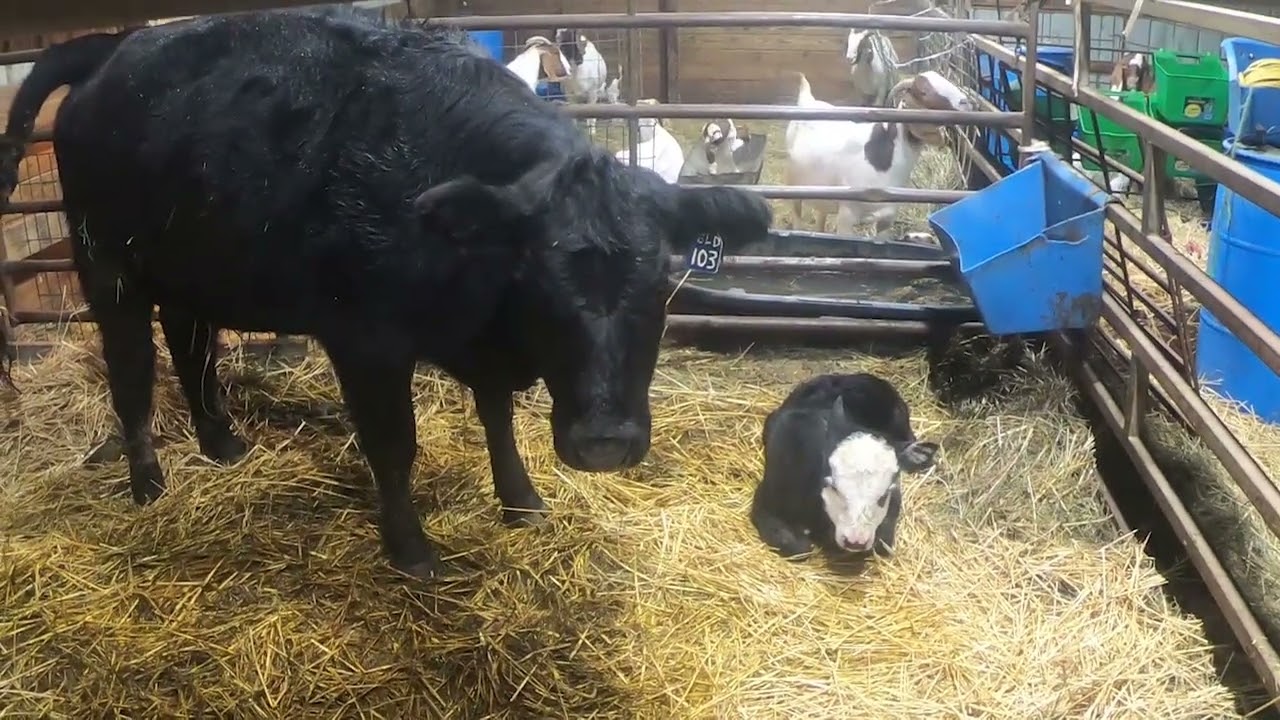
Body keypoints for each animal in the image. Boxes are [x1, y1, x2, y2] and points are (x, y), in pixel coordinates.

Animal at [0, 9, 771, 579]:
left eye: (663, 282)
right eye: (538, 278)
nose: (605, 442)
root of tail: (114, 49)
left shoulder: (481, 341)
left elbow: (497, 417)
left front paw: (521, 500)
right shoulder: (365, 342)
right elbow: (394, 445)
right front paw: (410, 548)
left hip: (189, 267)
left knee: (192, 350)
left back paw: (221, 443)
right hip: (107, 266)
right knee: (131, 374)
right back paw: (148, 484)